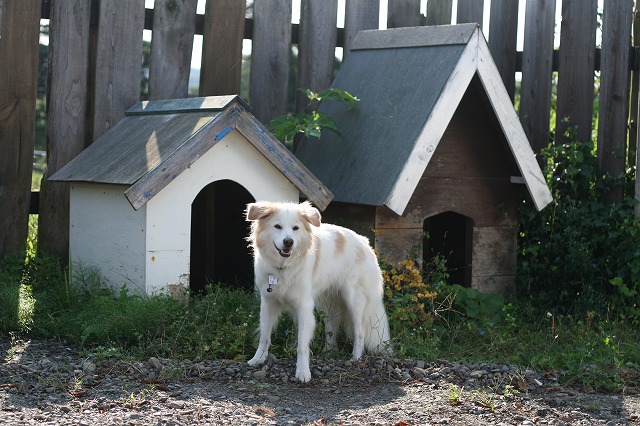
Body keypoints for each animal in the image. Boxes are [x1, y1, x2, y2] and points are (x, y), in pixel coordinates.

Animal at [244, 201, 390, 382]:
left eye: (296, 228)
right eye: (277, 226)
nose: (288, 242)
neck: (283, 267)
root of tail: (365, 242)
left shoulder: (304, 306)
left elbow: (302, 344)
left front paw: (303, 372)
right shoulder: (268, 303)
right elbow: (264, 336)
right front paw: (258, 359)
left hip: (354, 300)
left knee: (359, 331)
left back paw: (355, 358)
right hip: (327, 303)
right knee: (332, 328)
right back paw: (328, 353)